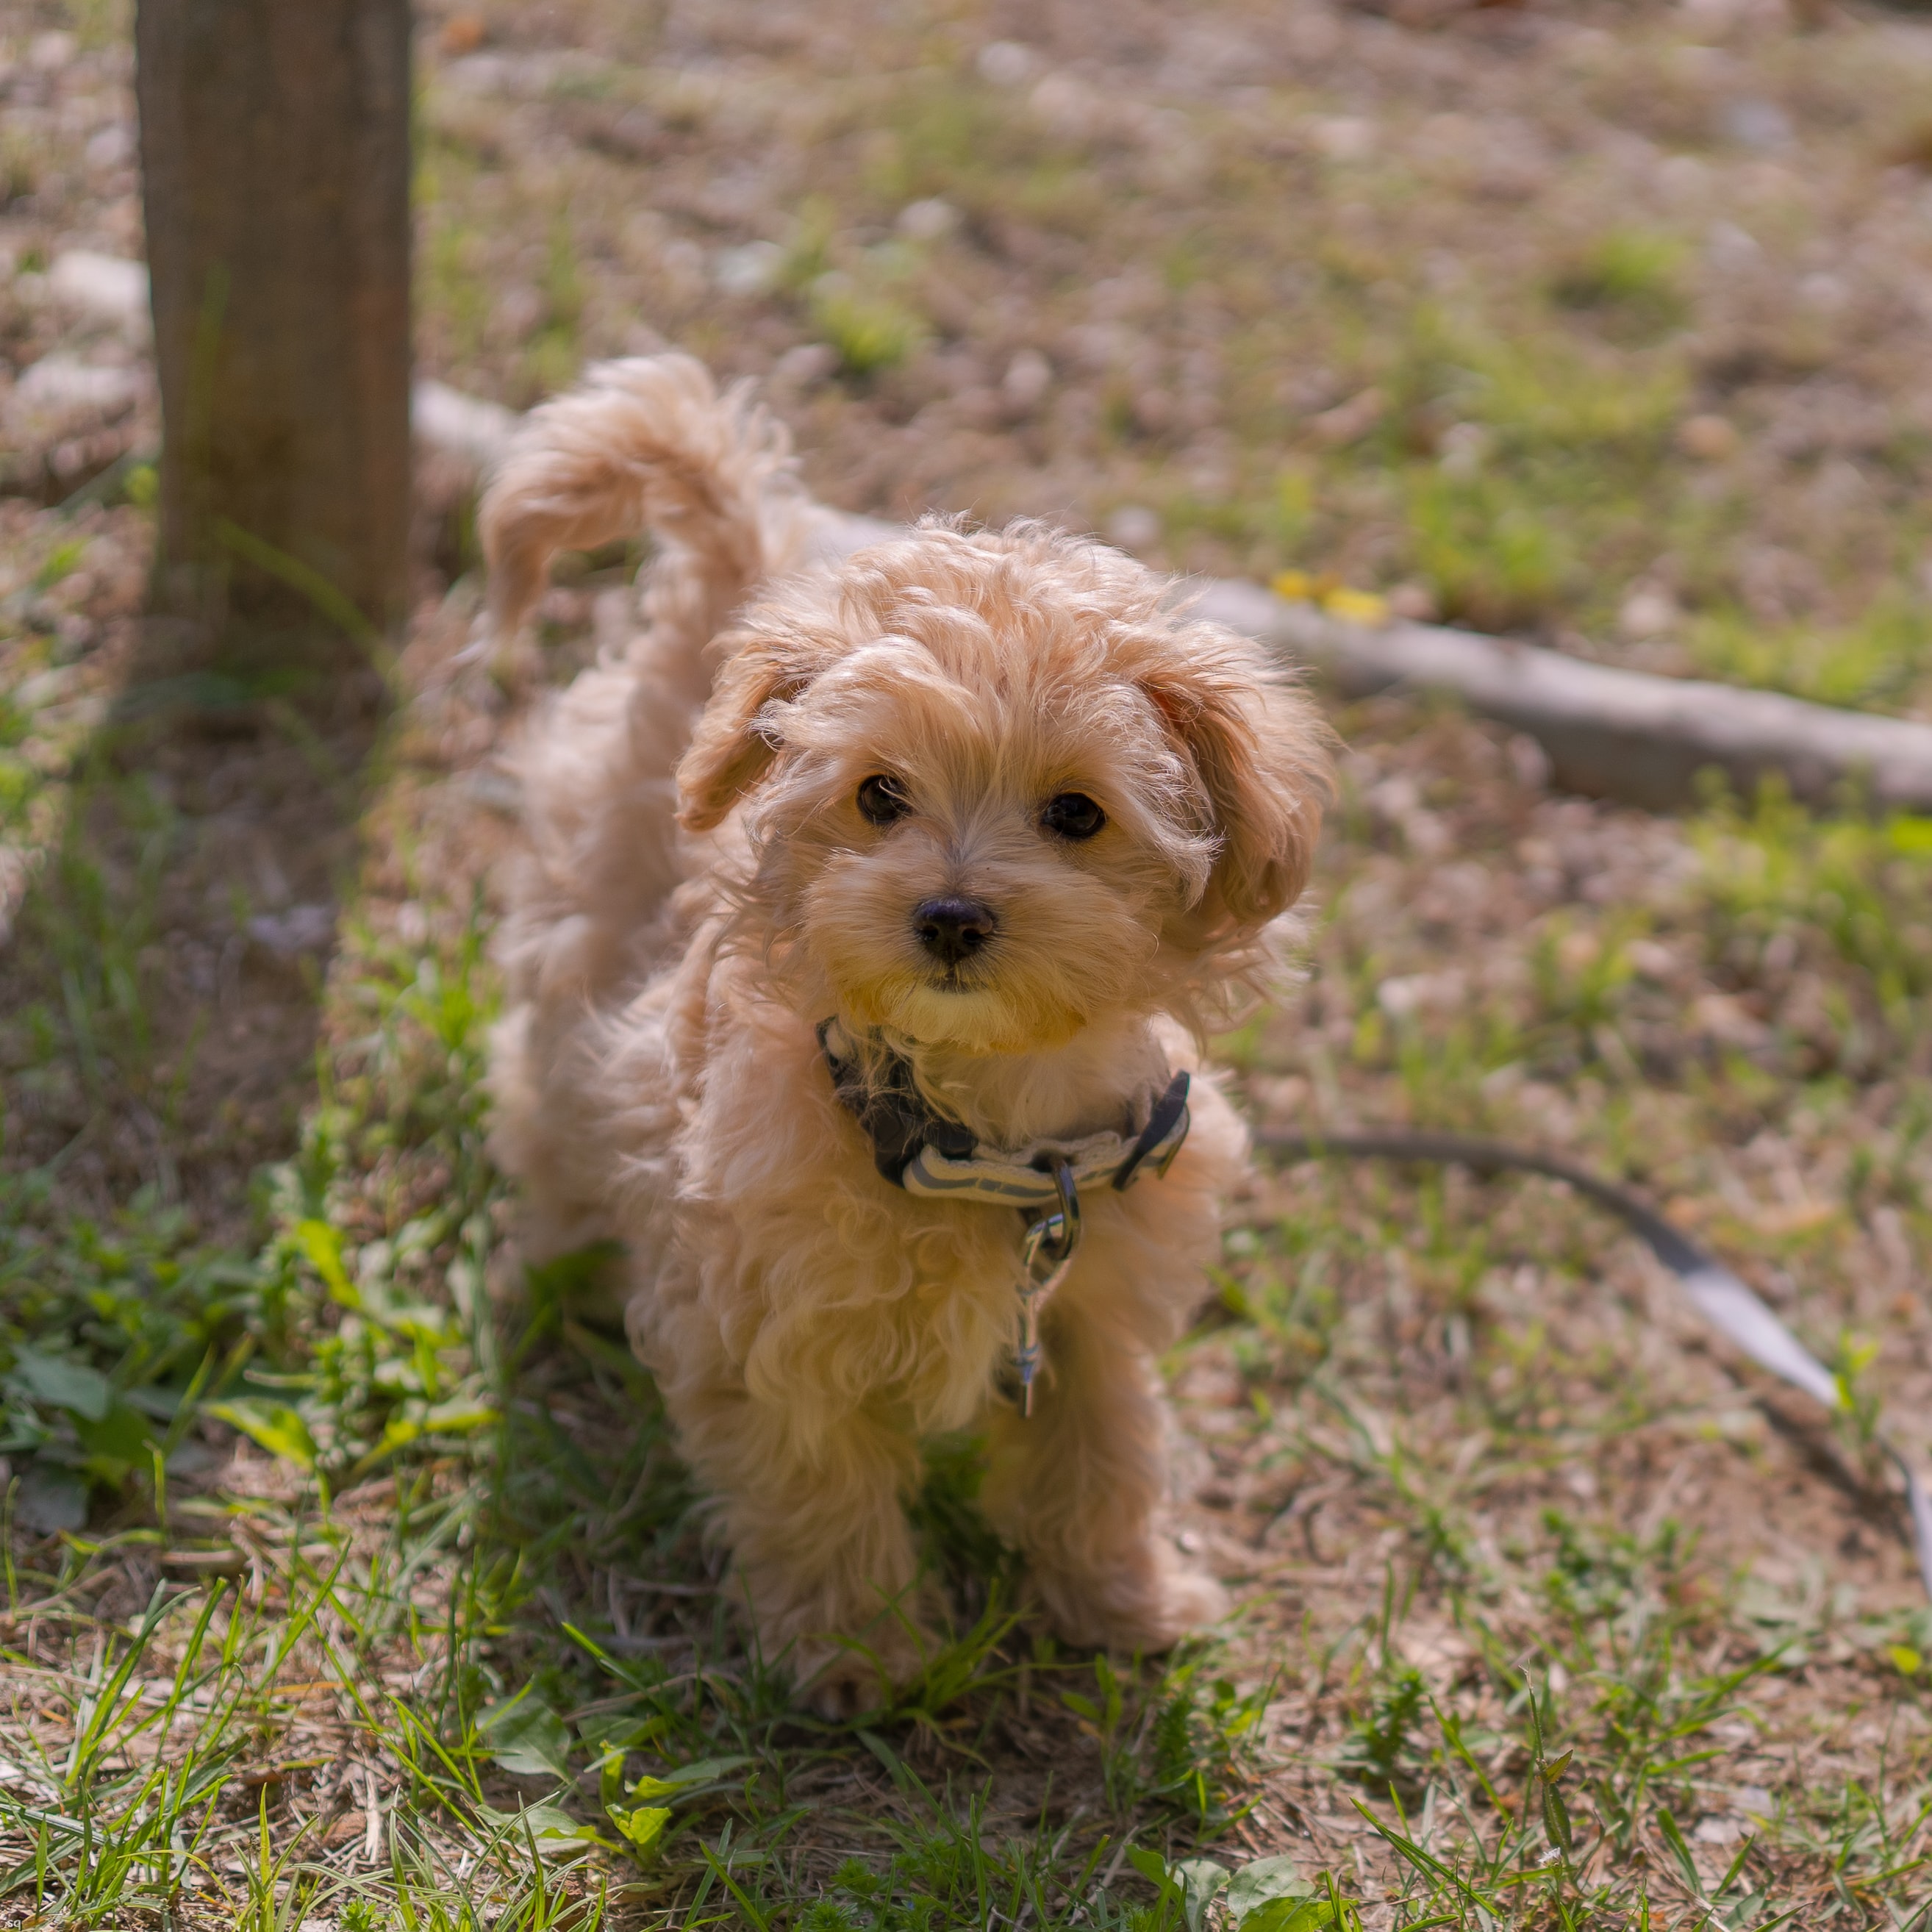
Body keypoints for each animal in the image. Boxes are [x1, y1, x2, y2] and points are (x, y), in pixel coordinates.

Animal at [481, 351, 1329, 1708]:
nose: (948, 913)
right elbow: (816, 1484)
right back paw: (567, 1264)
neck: (989, 1134)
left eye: (1077, 814)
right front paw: (858, 1654)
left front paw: (1124, 1602)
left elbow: (1104, 1453)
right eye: (880, 794)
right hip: (579, 956)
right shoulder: (775, 1323)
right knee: (547, 1099)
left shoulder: (1091, 1314)